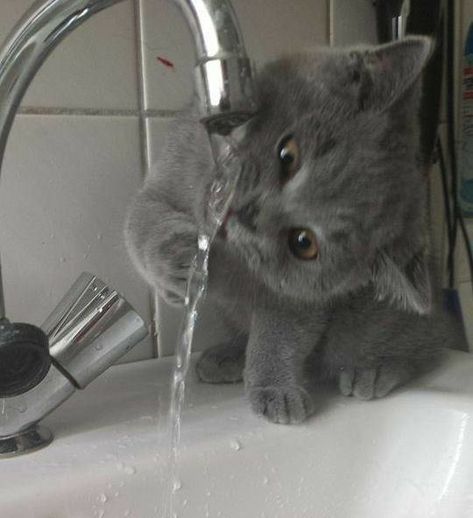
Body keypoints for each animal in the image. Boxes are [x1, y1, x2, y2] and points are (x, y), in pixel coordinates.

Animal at [125, 37, 464, 426]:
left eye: (304, 243)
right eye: (289, 155)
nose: (246, 212)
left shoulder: (298, 296)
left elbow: (279, 334)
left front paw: (274, 389)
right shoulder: (168, 171)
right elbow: (142, 221)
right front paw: (177, 264)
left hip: (378, 324)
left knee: (428, 341)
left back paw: (375, 370)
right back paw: (228, 355)